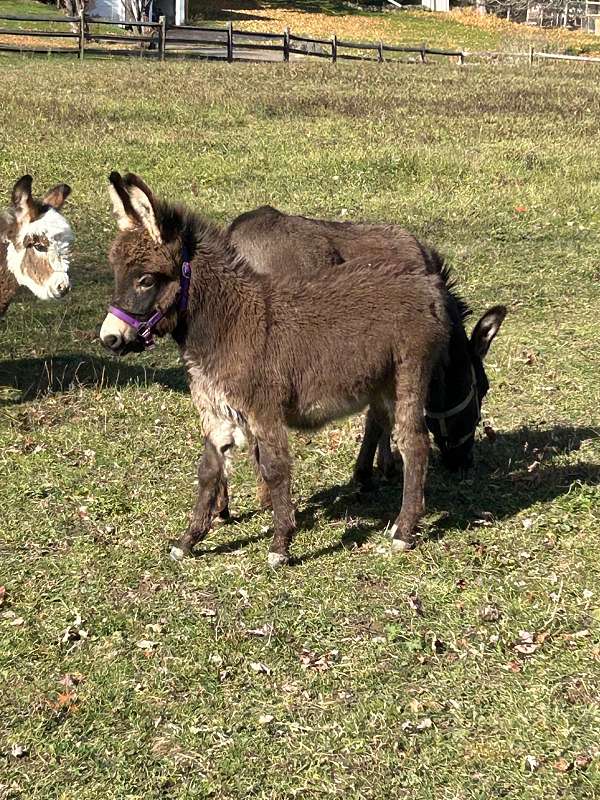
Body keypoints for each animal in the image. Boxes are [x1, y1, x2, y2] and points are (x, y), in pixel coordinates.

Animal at [98, 172, 500, 564]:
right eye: (116, 273)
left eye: (146, 279)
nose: (109, 338)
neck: (229, 323)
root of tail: (427, 286)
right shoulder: (217, 415)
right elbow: (209, 472)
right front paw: (189, 540)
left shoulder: (265, 412)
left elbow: (276, 469)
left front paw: (280, 545)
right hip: (385, 383)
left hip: (408, 377)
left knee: (415, 445)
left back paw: (402, 533)